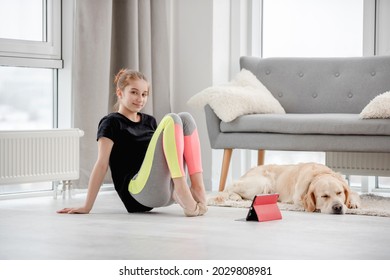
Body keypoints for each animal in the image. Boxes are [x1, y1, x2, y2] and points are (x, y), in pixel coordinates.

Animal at [212, 162, 362, 214]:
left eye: (339, 193)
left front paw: (352, 203)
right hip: (261, 184)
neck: (318, 174)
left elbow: (354, 193)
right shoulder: (298, 198)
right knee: (230, 187)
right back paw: (235, 197)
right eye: (324, 196)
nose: (338, 207)